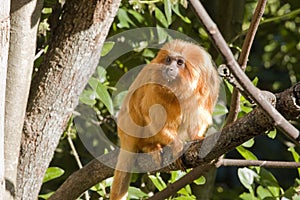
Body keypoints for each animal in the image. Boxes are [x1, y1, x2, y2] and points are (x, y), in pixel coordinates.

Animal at [110, 39, 220, 200]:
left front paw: (196, 137)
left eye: (179, 62)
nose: (170, 68)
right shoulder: (154, 84)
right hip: (131, 129)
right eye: (168, 60)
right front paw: (176, 145)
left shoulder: (205, 90)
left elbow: (198, 118)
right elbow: (150, 113)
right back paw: (149, 146)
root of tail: (124, 137)